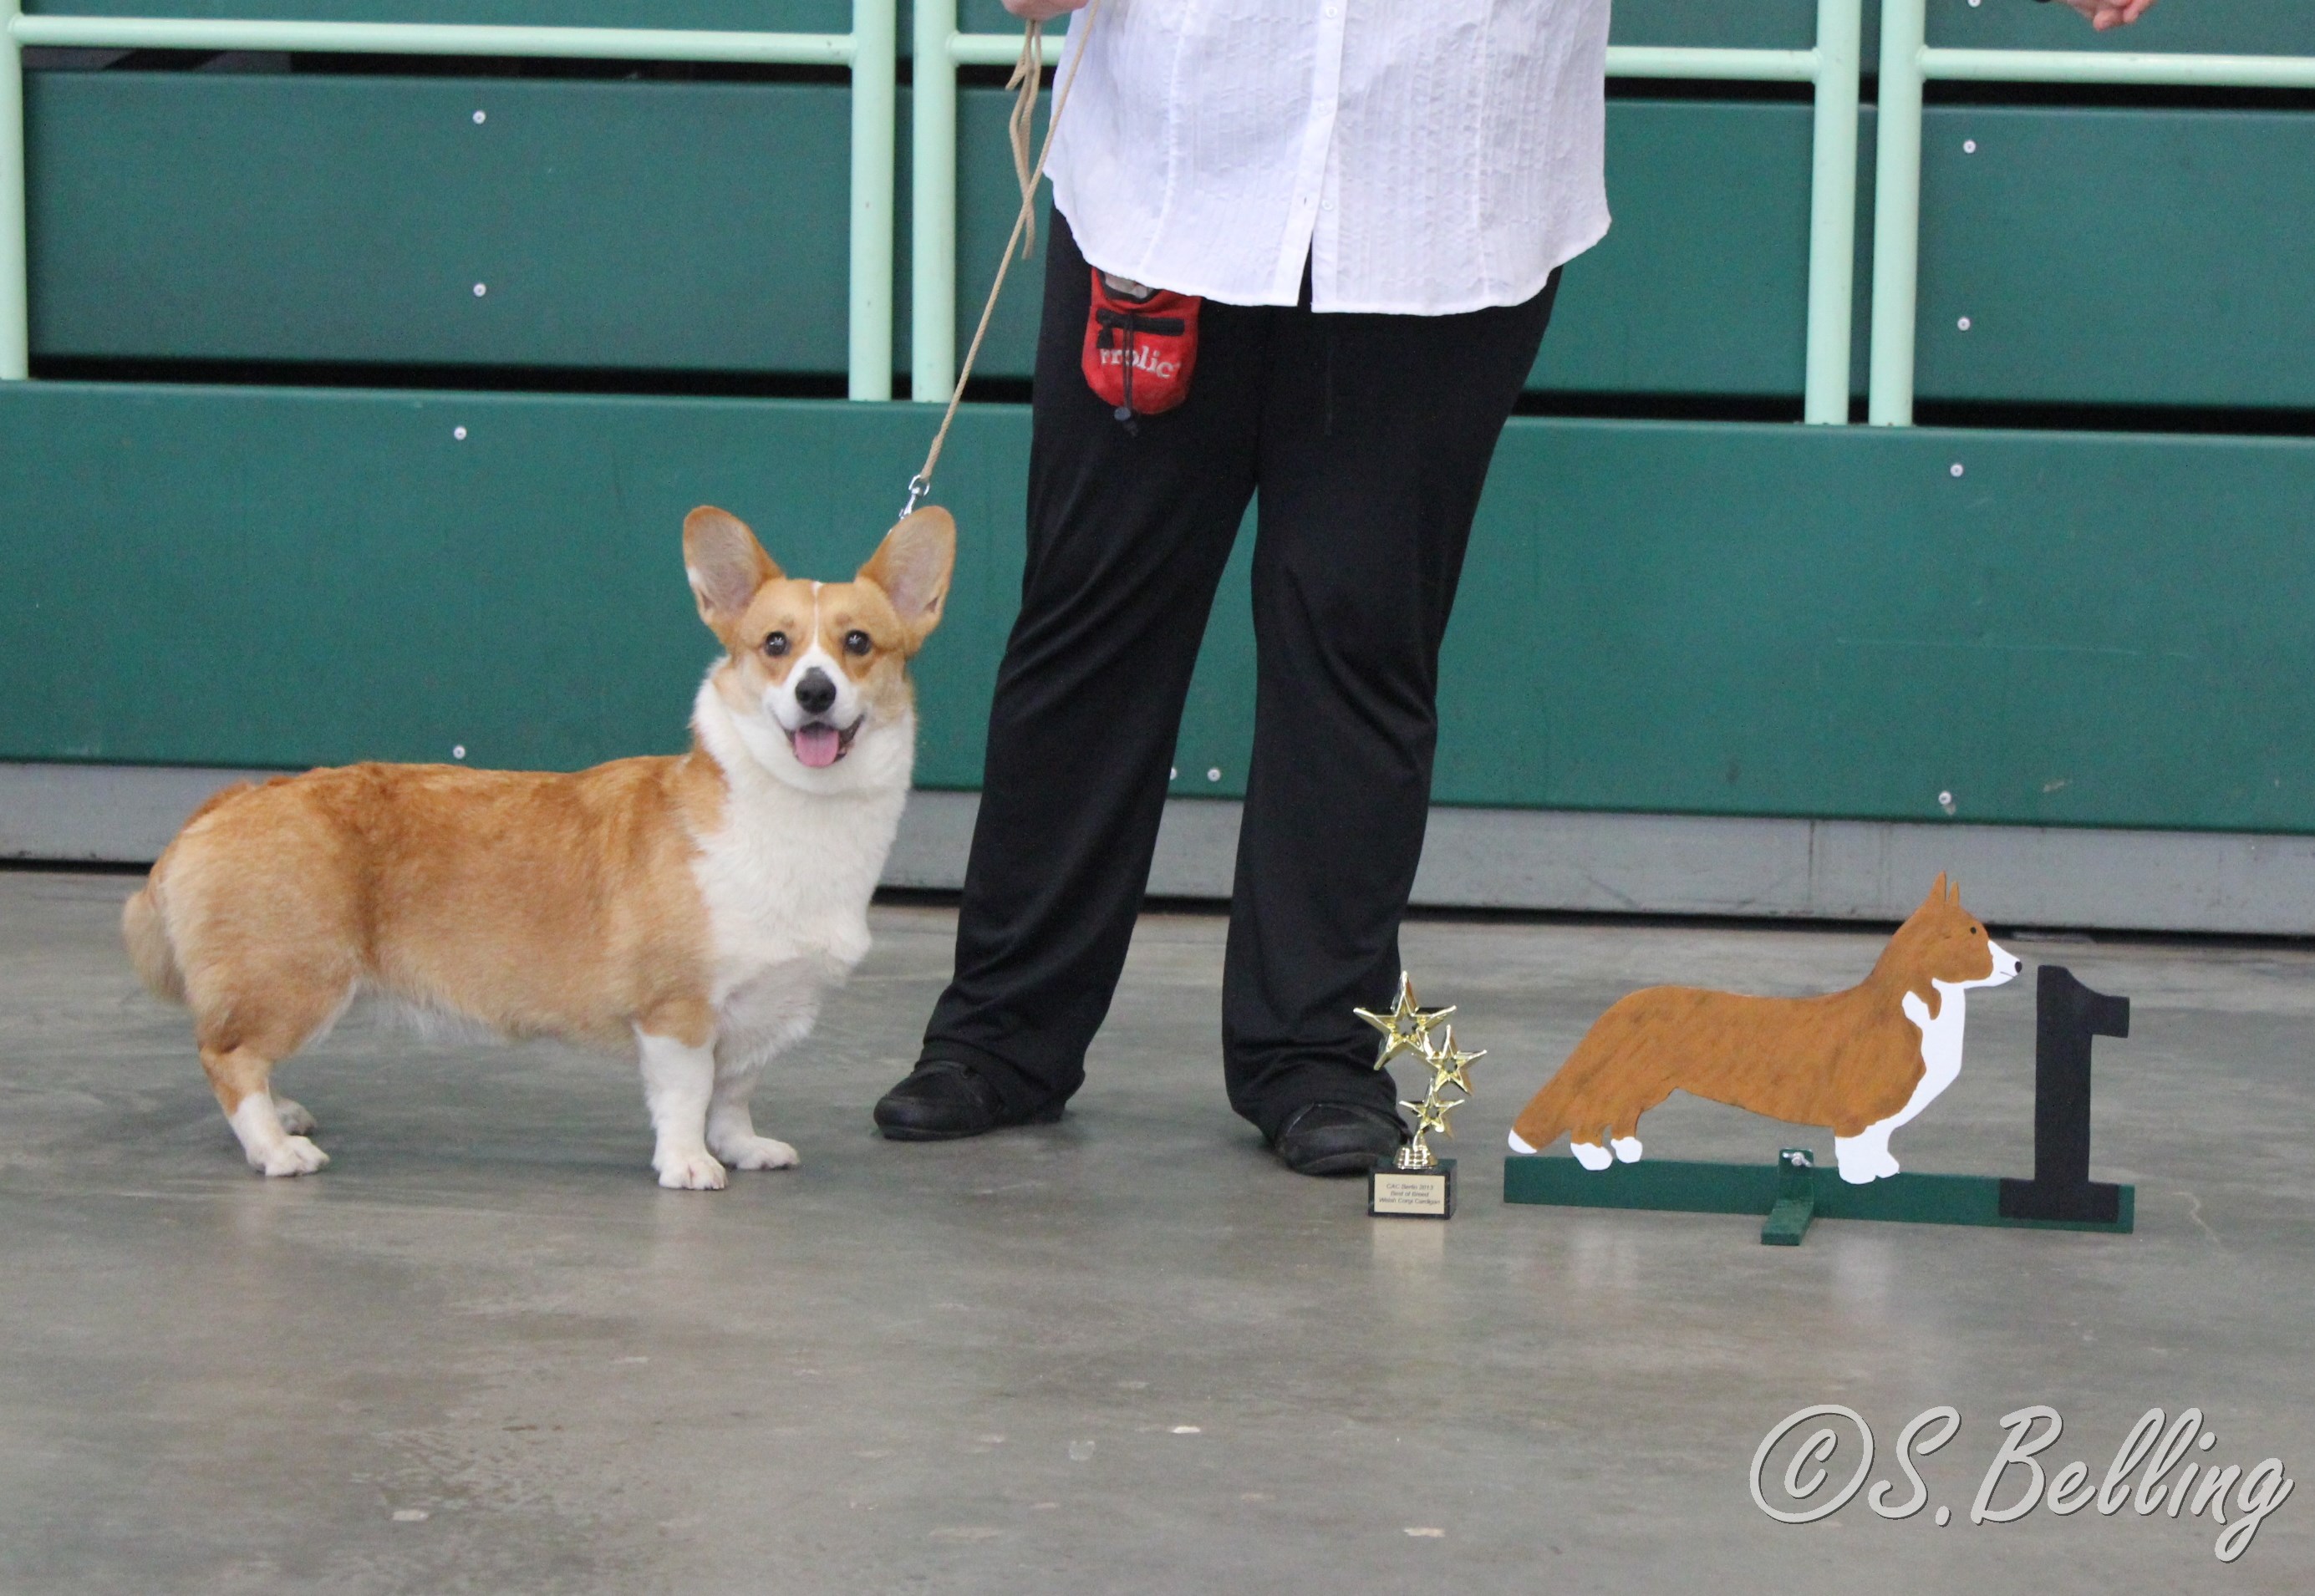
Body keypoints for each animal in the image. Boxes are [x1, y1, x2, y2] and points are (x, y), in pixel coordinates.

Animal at [114, 504, 949, 1184]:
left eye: (858, 643)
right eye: (775, 644)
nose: (815, 692)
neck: (796, 812)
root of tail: (228, 801)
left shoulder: (756, 1011)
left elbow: (733, 1092)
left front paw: (742, 1148)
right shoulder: (676, 1011)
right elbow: (687, 1095)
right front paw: (688, 1164)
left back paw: (284, 1112)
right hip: (298, 979)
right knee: (227, 1058)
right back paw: (276, 1149)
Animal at [1509, 869, 2018, 1179]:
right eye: (1973, 933)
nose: (2016, 964)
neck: (1915, 1011)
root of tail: (1622, 1004)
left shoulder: (1884, 1120)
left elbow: (1881, 1142)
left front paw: (1886, 1169)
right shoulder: (1858, 1113)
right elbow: (1856, 1147)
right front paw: (1860, 1178)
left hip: (1650, 1085)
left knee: (1621, 1114)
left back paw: (1629, 1151)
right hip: (1626, 1076)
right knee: (1588, 1112)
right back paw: (1594, 1158)